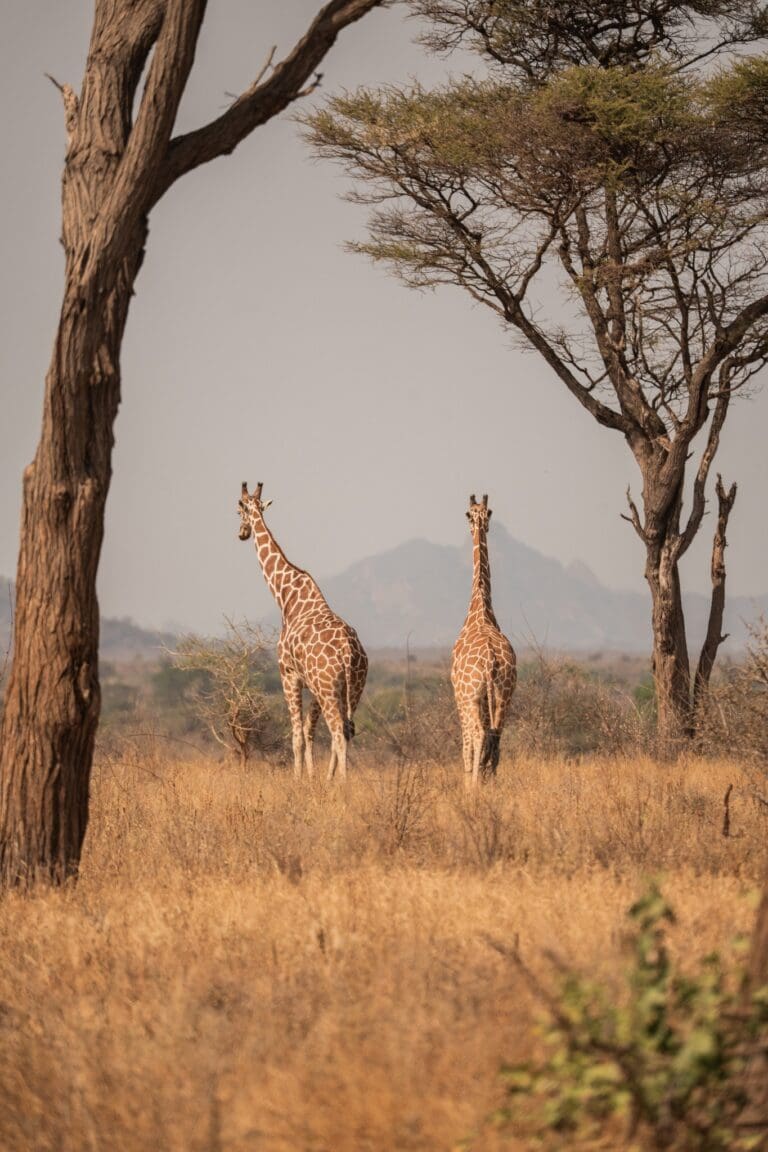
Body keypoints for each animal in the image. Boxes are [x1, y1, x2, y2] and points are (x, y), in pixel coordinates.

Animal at [237, 481, 368, 781]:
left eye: (238, 510)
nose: (241, 533)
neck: (286, 597)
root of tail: (349, 652)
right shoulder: (313, 686)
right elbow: (309, 732)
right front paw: (313, 778)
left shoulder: (289, 674)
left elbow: (296, 735)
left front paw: (298, 780)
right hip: (352, 688)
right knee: (344, 732)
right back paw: (333, 779)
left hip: (330, 688)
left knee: (338, 734)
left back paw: (343, 784)